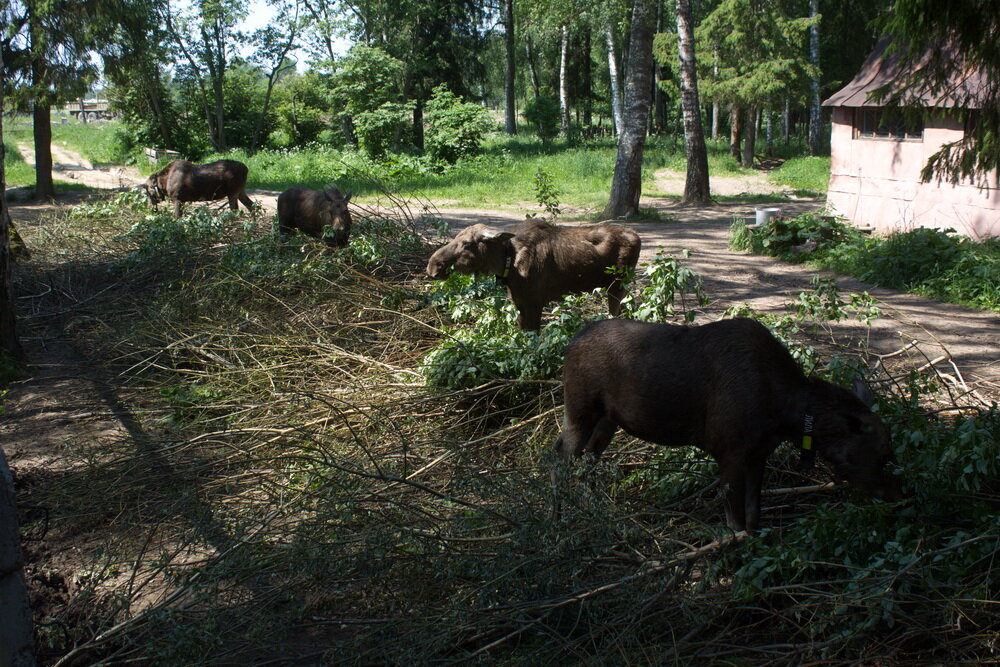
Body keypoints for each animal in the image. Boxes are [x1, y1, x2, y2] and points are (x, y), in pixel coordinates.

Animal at [424, 219, 640, 332]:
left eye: (468, 244)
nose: (433, 265)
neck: (507, 263)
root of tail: (637, 237)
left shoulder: (535, 302)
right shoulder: (520, 303)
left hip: (617, 285)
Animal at [556, 318, 900, 532]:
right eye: (881, 453)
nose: (890, 493)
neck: (784, 416)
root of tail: (570, 343)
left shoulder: (759, 453)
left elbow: (754, 515)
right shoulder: (729, 449)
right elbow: (735, 522)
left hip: (609, 419)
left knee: (587, 456)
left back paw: (593, 505)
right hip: (580, 406)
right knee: (562, 454)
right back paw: (559, 512)